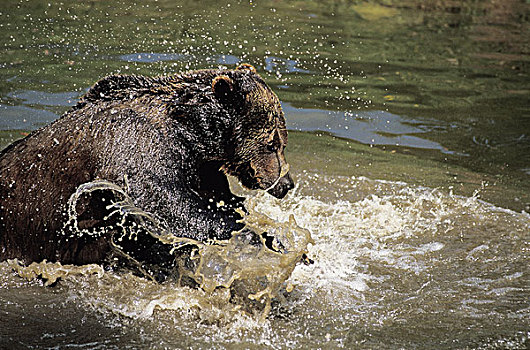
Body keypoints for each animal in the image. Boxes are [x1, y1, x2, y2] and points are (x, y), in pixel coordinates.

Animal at [0, 64, 292, 274]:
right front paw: (252, 238)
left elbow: (222, 199)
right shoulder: (138, 145)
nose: (286, 183)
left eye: (282, 141)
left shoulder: (202, 169)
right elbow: (166, 201)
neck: (190, 131)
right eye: (272, 143)